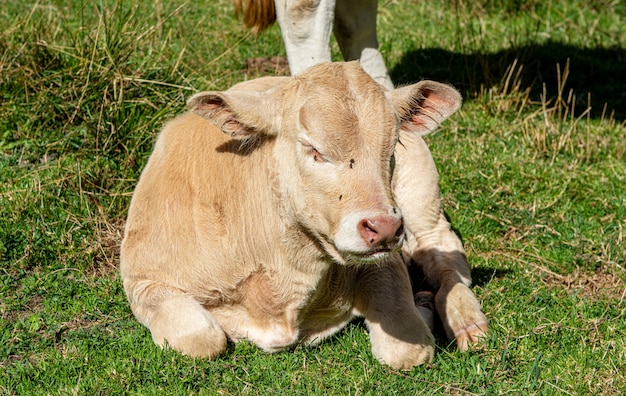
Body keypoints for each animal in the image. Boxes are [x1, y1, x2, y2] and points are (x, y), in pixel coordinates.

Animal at [119, 61, 486, 368]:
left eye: (393, 145)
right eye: (314, 150)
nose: (384, 228)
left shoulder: (385, 260)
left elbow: (407, 349)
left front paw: (423, 310)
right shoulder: (143, 280)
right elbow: (202, 338)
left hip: (422, 205)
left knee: (447, 260)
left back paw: (468, 323)